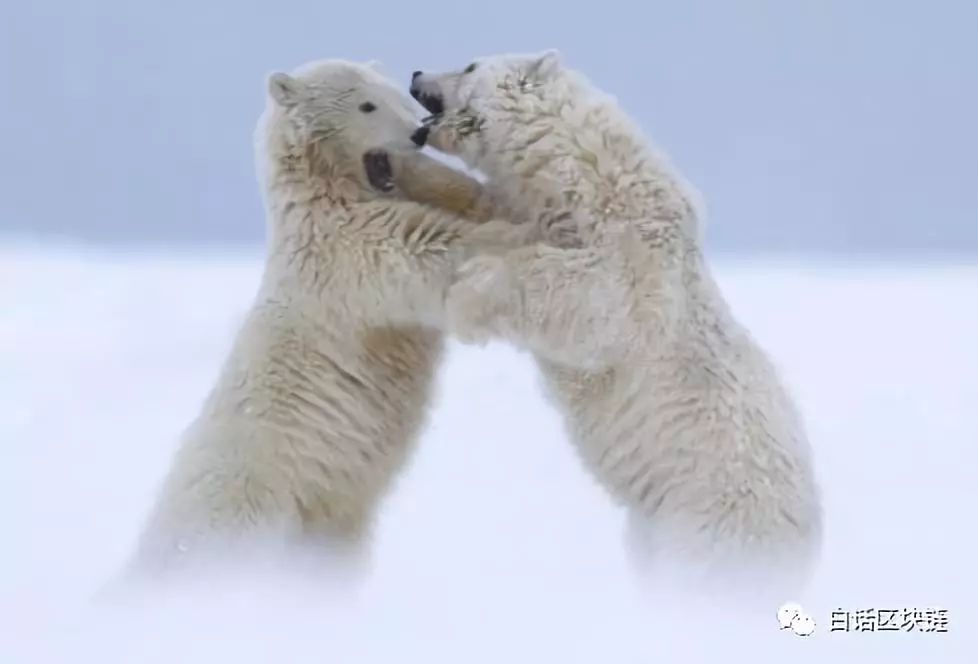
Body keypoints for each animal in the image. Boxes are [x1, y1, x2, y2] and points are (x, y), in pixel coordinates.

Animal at [127, 62, 520, 580]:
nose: (418, 132)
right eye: (366, 105)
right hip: (251, 509)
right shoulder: (346, 252)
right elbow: (432, 247)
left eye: (395, 94)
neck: (324, 193)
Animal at [404, 50, 824, 596]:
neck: (587, 178)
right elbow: (506, 226)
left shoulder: (638, 254)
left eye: (471, 64)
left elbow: (595, 304)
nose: (416, 74)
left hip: (709, 526)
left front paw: (470, 291)